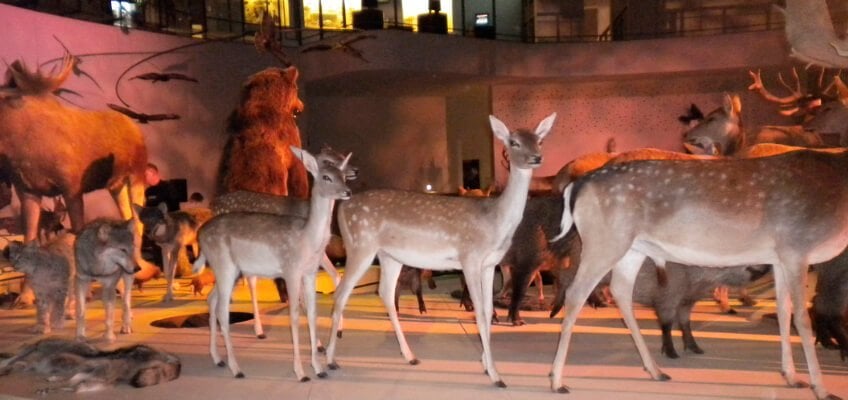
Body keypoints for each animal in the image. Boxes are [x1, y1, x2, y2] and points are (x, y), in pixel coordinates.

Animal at [193, 147, 352, 382]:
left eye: (342, 175)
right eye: (326, 176)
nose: (347, 192)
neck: (306, 238)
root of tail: (200, 235)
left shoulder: (309, 272)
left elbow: (312, 313)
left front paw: (319, 368)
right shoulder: (290, 269)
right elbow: (293, 315)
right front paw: (301, 373)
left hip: (228, 270)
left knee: (211, 299)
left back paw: (218, 359)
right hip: (225, 266)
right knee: (223, 309)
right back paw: (237, 368)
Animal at [324, 112, 556, 388]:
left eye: (539, 140)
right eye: (514, 142)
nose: (537, 157)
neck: (495, 221)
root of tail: (342, 208)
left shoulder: (490, 264)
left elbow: (489, 308)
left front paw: (485, 364)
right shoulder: (470, 257)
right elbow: (479, 311)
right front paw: (496, 375)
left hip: (389, 255)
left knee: (385, 293)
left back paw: (410, 357)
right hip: (360, 245)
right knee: (340, 292)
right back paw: (328, 361)